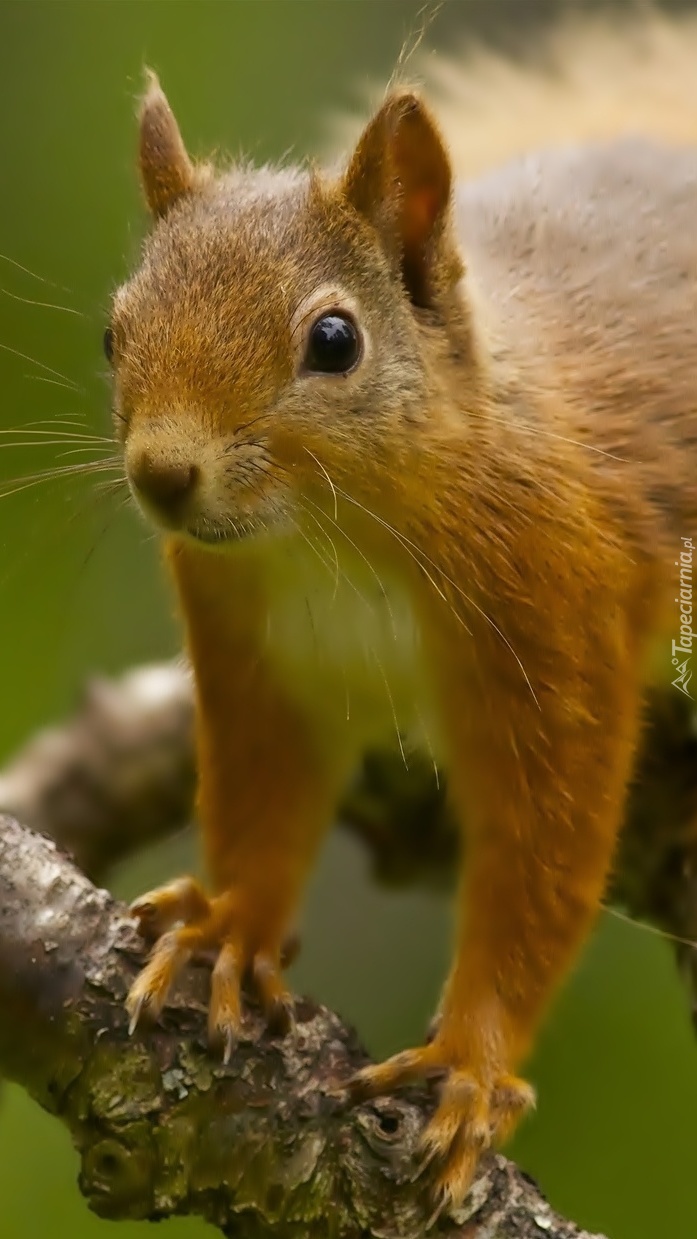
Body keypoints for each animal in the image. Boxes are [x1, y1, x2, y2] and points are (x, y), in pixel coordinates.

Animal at [105, 7, 697, 1209]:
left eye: (334, 341)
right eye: (114, 330)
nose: (163, 474)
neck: (332, 544)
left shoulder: (558, 636)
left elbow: (540, 860)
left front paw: (470, 1065)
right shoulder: (252, 671)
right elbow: (263, 805)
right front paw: (227, 930)